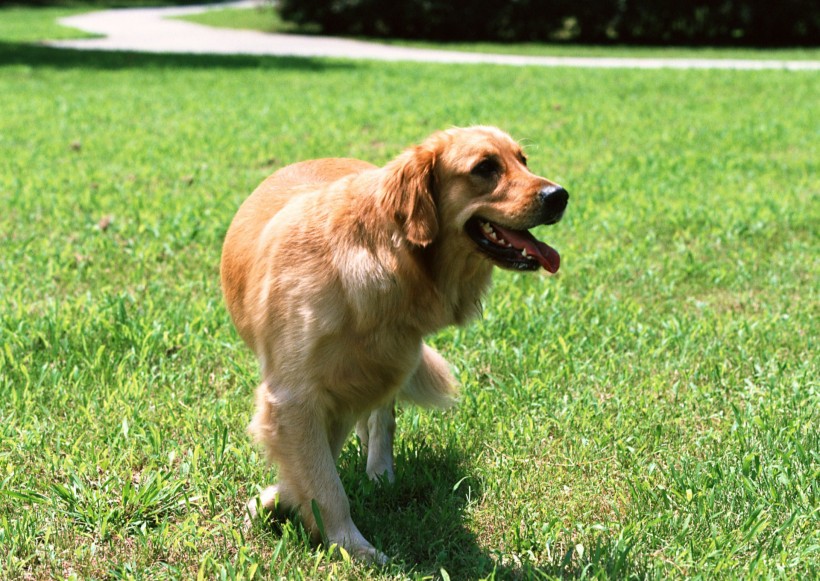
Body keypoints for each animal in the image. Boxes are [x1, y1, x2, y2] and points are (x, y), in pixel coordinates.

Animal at [221, 124, 572, 560]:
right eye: (485, 168)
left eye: (523, 161)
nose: (559, 195)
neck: (385, 255)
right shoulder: (296, 396)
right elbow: (323, 478)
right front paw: (347, 542)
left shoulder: (330, 392)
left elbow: (322, 473)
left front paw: (332, 534)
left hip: (388, 364)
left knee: (382, 417)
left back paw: (379, 470)